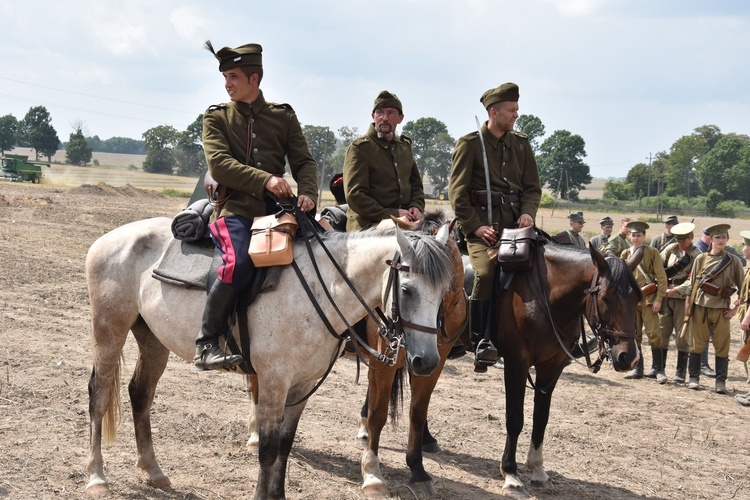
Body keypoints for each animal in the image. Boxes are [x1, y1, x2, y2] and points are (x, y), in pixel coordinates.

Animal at [496, 240, 644, 494]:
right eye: (606, 297)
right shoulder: (516, 363)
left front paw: (538, 470)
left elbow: (541, 418)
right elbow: (515, 419)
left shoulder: (551, 367)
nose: (629, 357)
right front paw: (511, 473)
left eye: (636, 298)